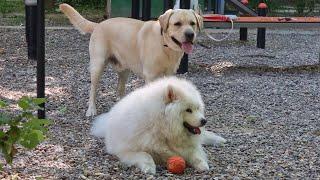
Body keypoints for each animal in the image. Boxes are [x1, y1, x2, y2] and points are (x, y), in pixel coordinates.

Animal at [59, 4, 202, 117]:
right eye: (177, 24)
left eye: (192, 23)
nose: (190, 34)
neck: (164, 44)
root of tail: (99, 24)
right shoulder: (150, 76)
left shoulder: (169, 75)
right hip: (97, 66)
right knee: (93, 89)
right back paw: (91, 109)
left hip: (124, 71)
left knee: (120, 90)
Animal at [90, 76, 225, 174]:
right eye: (188, 110)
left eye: (197, 108)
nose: (204, 121)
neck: (162, 126)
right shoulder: (126, 151)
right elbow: (145, 155)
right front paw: (149, 167)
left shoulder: (188, 145)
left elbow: (196, 153)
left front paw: (202, 164)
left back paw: (220, 140)